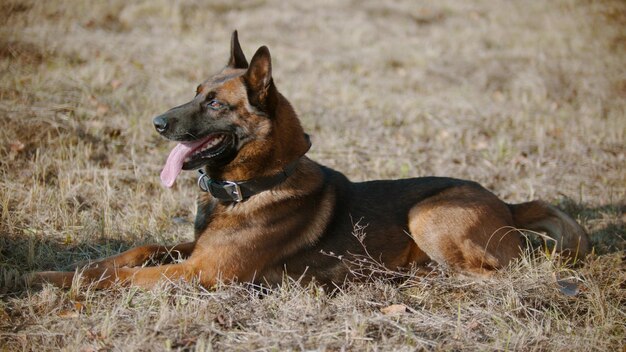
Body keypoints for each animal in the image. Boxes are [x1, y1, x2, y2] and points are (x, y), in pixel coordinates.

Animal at [33, 31, 588, 288]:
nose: (156, 123)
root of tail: (509, 205)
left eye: (214, 103)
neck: (251, 186)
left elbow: (124, 276)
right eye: (194, 92)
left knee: (492, 274)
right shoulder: (194, 252)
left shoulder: (201, 271)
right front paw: (55, 273)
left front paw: (67, 284)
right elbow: (137, 250)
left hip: (427, 213)